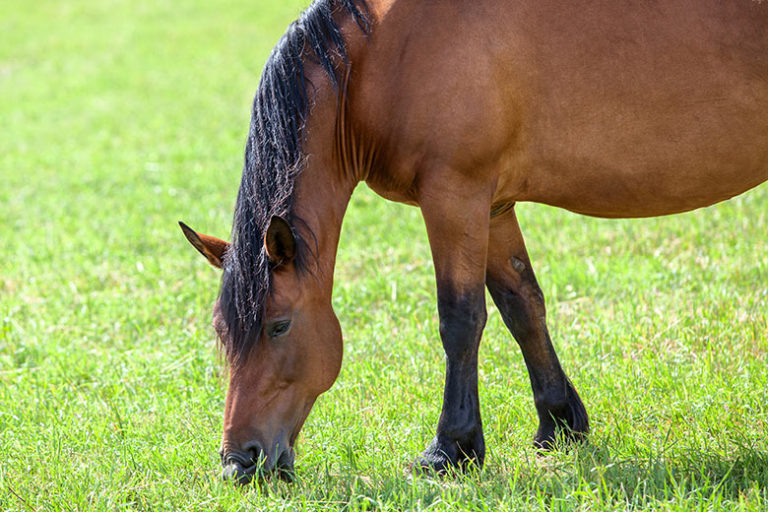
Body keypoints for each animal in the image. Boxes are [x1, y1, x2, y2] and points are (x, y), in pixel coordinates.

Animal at [180, 0, 768, 483]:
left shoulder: (454, 195)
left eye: (278, 326)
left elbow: (460, 320)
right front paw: (559, 425)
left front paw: (452, 449)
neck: (384, 59)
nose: (239, 464)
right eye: (222, 332)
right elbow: (522, 305)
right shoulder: (493, 207)